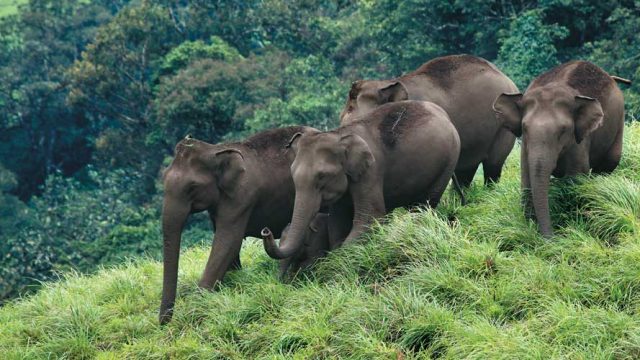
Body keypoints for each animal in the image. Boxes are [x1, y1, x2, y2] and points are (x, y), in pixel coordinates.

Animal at [262, 100, 462, 258]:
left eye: (322, 176)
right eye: (292, 175)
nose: (266, 230)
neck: (338, 135)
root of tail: (444, 114)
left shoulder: (371, 171)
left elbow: (369, 217)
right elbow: (337, 223)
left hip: (448, 161)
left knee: (425, 204)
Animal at [340, 54, 520, 190]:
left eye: (350, 112)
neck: (388, 82)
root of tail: (508, 79)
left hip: (502, 128)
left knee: (493, 165)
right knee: (466, 171)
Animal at [492, 60, 628, 238]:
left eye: (563, 130)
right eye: (525, 128)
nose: (552, 237)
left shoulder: (579, 141)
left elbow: (575, 178)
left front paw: (573, 224)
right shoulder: (526, 145)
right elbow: (527, 175)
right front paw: (529, 226)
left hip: (619, 122)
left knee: (608, 164)